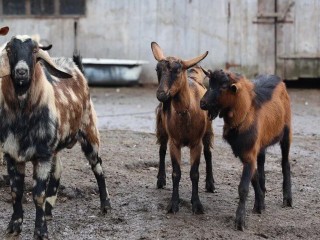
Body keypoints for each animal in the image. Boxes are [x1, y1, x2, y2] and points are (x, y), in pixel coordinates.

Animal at [0, 36, 111, 240]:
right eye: (10, 49)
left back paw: (106, 205)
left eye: (35, 50)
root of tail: (77, 68)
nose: (21, 71)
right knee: (59, 169)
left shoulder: (42, 156)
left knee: (98, 166)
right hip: (56, 146)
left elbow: (38, 195)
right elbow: (16, 192)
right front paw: (14, 226)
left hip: (89, 133)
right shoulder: (12, 155)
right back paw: (49, 210)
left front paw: (40, 231)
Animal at [151, 42, 215, 214]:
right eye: (157, 69)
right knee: (161, 150)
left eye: (177, 70)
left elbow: (194, 173)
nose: (161, 94)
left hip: (208, 131)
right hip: (162, 127)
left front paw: (197, 205)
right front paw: (173, 204)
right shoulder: (175, 142)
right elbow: (176, 173)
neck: (185, 112)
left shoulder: (196, 143)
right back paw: (160, 180)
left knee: (208, 153)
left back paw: (210, 184)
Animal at [200, 69, 292, 231]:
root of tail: (277, 78)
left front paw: (240, 221)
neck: (246, 112)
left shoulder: (249, 155)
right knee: (262, 166)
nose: (202, 103)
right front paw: (259, 205)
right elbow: (254, 179)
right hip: (262, 145)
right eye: (210, 83)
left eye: (223, 86)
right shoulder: (248, 153)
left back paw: (287, 198)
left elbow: (243, 188)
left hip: (286, 132)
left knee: (285, 163)